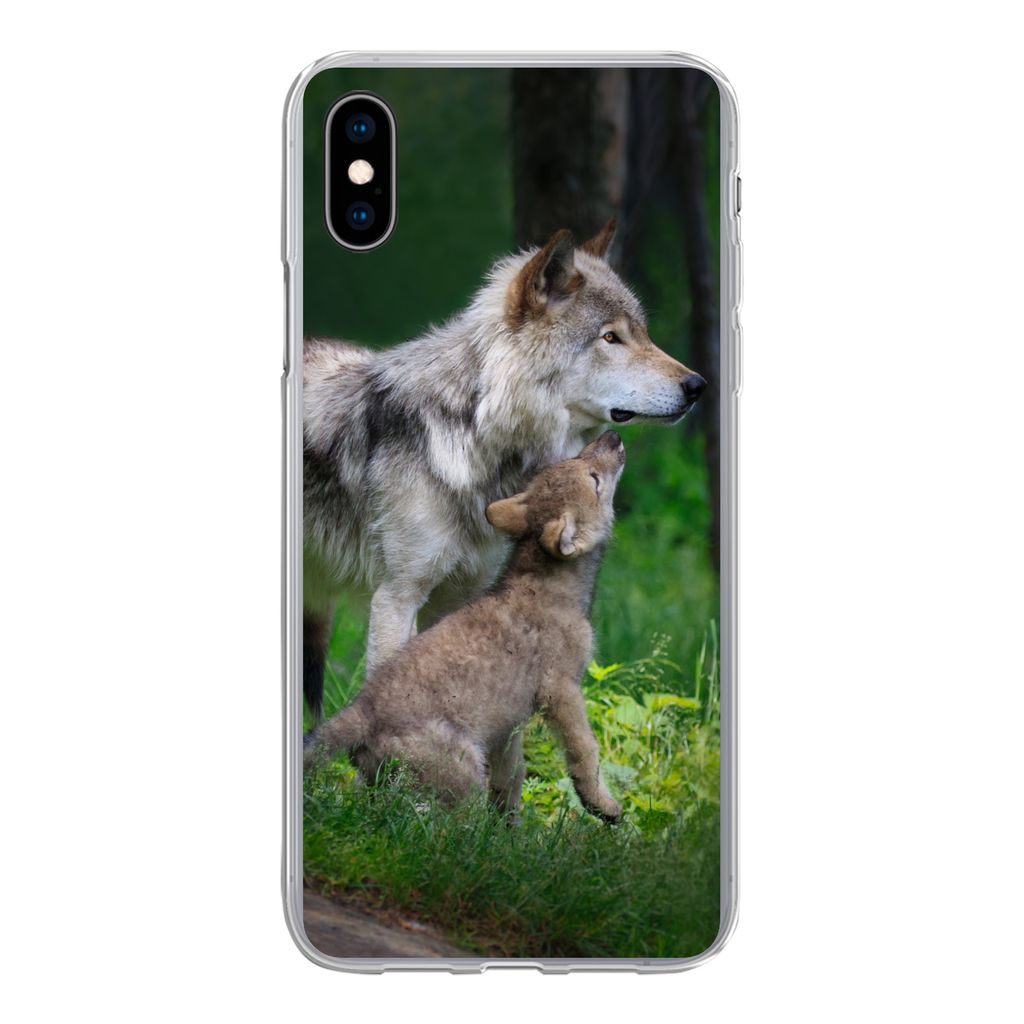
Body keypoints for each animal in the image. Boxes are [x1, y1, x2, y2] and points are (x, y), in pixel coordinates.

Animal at [303, 219, 705, 718]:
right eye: (610, 338)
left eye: (644, 334)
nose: (698, 386)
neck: (475, 434)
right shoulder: (397, 597)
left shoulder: (459, 596)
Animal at [305, 431, 628, 822]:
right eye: (594, 480)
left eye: (576, 459)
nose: (613, 437)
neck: (549, 583)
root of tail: (362, 709)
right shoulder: (561, 690)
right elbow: (585, 751)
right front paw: (603, 805)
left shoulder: (509, 724)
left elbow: (512, 775)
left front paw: (510, 828)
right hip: (465, 771)